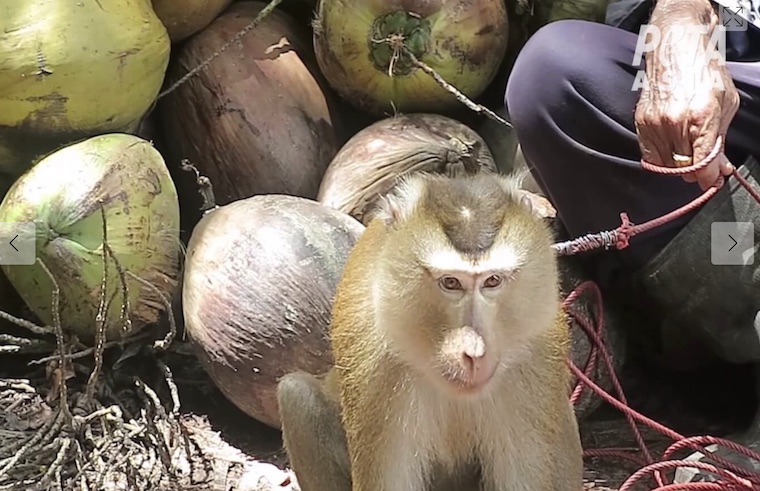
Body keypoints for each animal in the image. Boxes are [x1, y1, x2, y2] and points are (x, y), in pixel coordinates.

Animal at [278, 171, 583, 491]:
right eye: (450, 283)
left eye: (492, 281)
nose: (474, 352)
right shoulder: (376, 369)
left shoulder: (534, 360)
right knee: (296, 394)